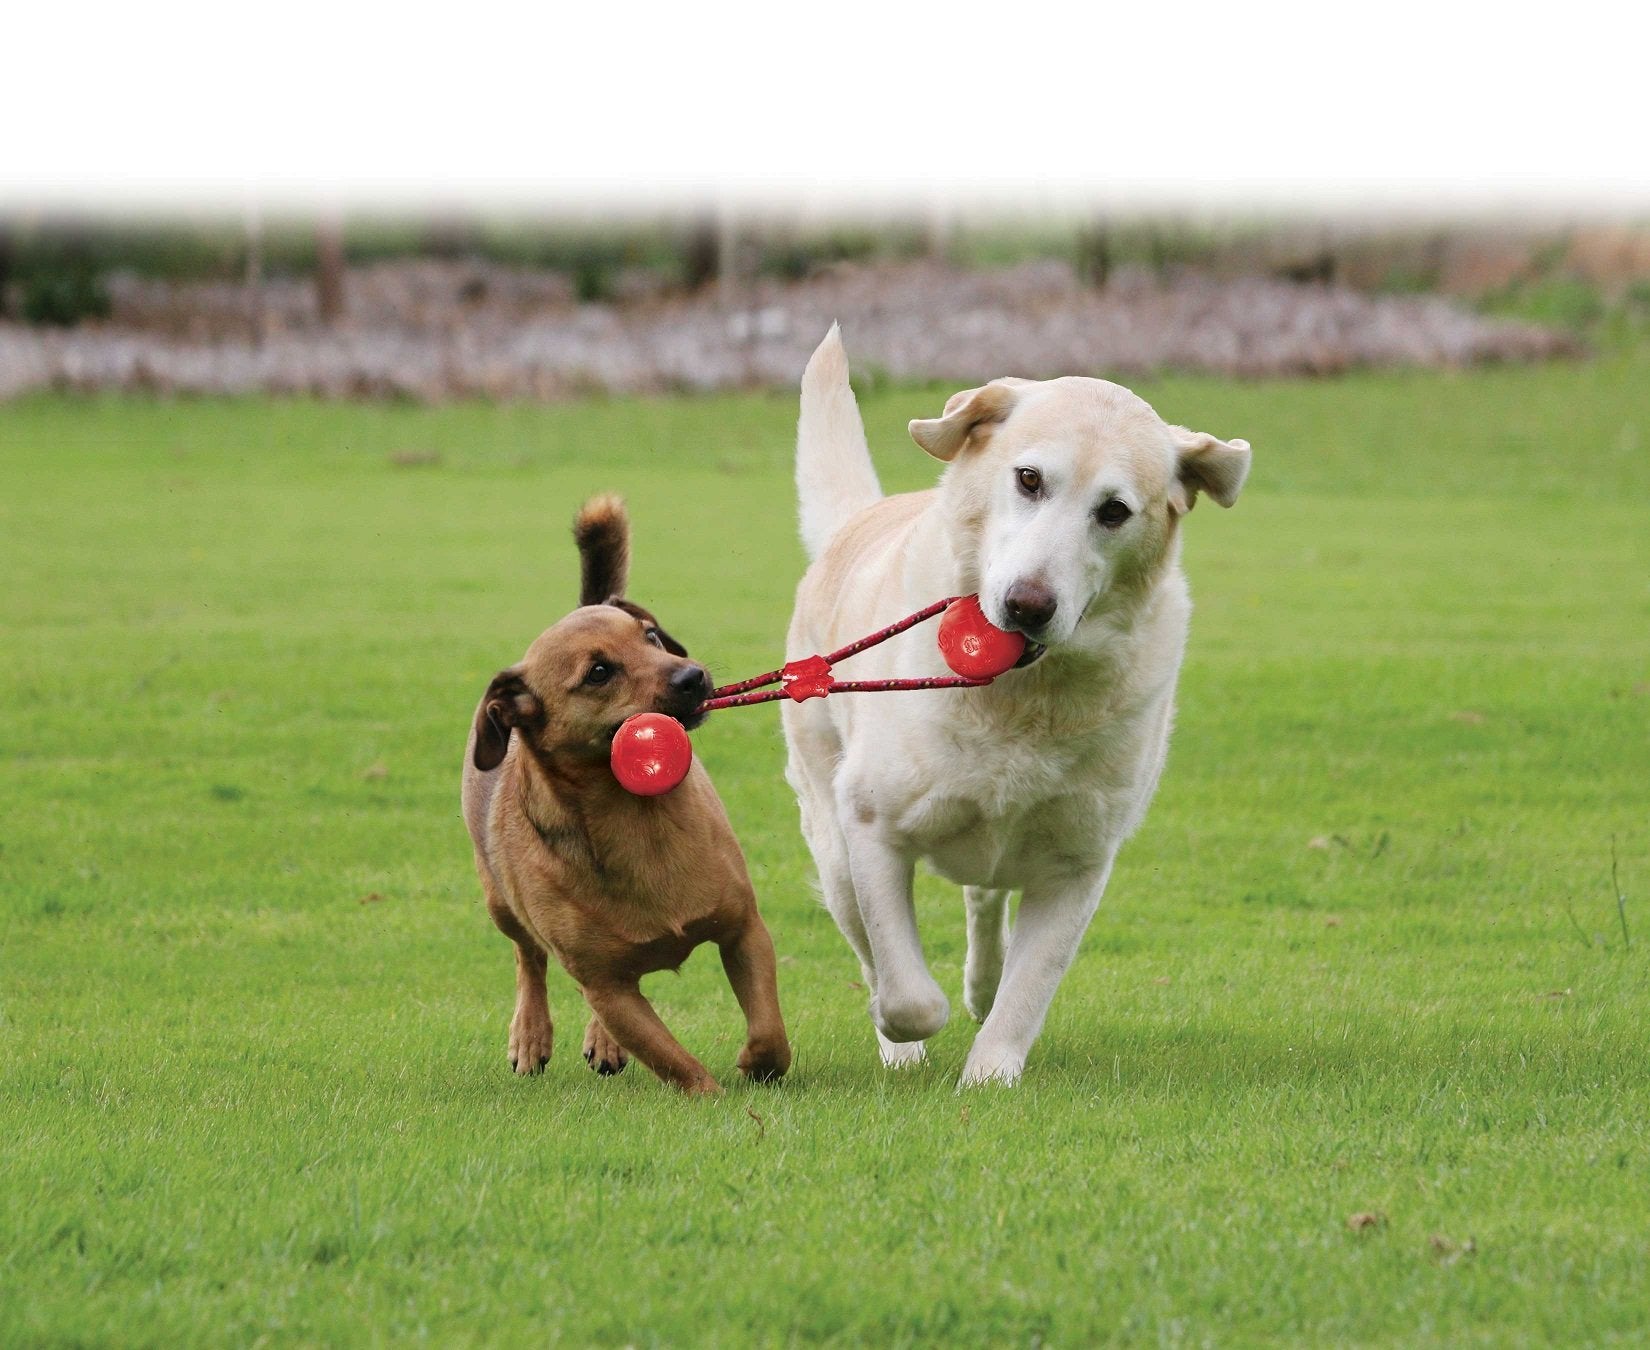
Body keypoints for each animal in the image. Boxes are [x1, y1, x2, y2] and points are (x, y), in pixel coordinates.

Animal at [458, 495, 792, 1095]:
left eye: (652, 637)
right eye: (598, 672)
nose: (693, 676)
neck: (639, 816)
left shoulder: (745, 931)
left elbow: (769, 1028)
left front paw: (758, 1064)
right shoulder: (604, 985)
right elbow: (673, 1061)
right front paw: (713, 1098)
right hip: (500, 901)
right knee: (527, 958)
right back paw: (530, 1035)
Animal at [782, 326, 1247, 1082]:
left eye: (1114, 511)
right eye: (1029, 479)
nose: (1028, 606)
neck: (1023, 700)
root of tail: (859, 520)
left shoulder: (1079, 865)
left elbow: (1030, 989)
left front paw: (990, 1076)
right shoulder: (872, 828)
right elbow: (906, 989)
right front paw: (904, 1026)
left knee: (985, 897)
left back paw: (983, 982)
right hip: (830, 836)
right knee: (869, 938)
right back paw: (900, 1047)